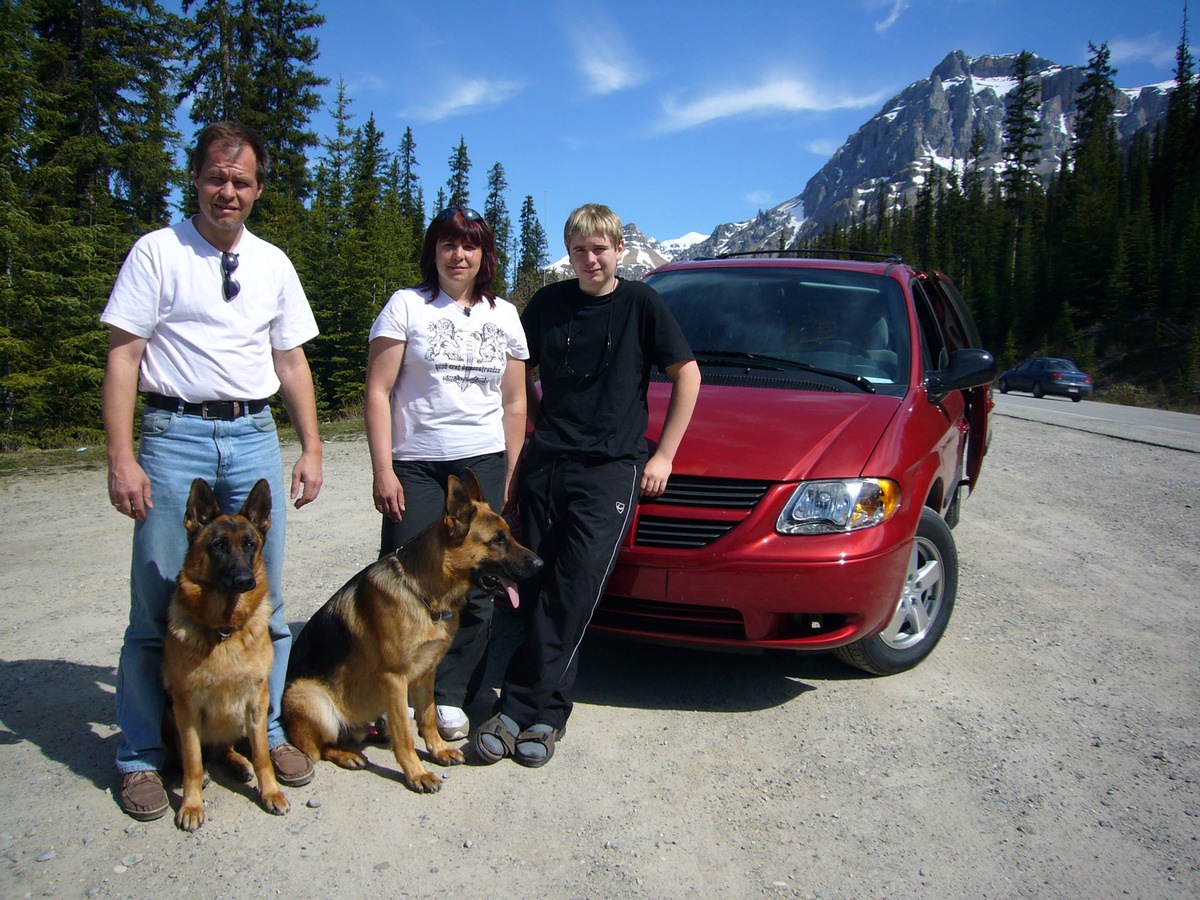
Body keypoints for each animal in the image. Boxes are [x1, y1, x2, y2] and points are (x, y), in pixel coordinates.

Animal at [162, 480, 288, 830]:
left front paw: (271, 792)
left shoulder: (257, 702)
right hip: (169, 714)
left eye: (250, 544)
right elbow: (192, 761)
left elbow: (262, 755)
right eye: (218, 545)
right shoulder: (186, 707)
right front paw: (191, 806)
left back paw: (238, 763)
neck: (224, 630)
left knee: (224, 749)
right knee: (190, 755)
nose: (246, 580)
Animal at [283, 468, 542, 792]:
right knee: (318, 748)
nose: (541, 563)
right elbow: (405, 734)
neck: (425, 595)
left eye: (509, 534)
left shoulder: (426, 671)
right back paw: (346, 754)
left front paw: (438, 750)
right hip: (310, 697)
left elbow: (428, 716)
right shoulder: (394, 680)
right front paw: (416, 773)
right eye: (498, 539)